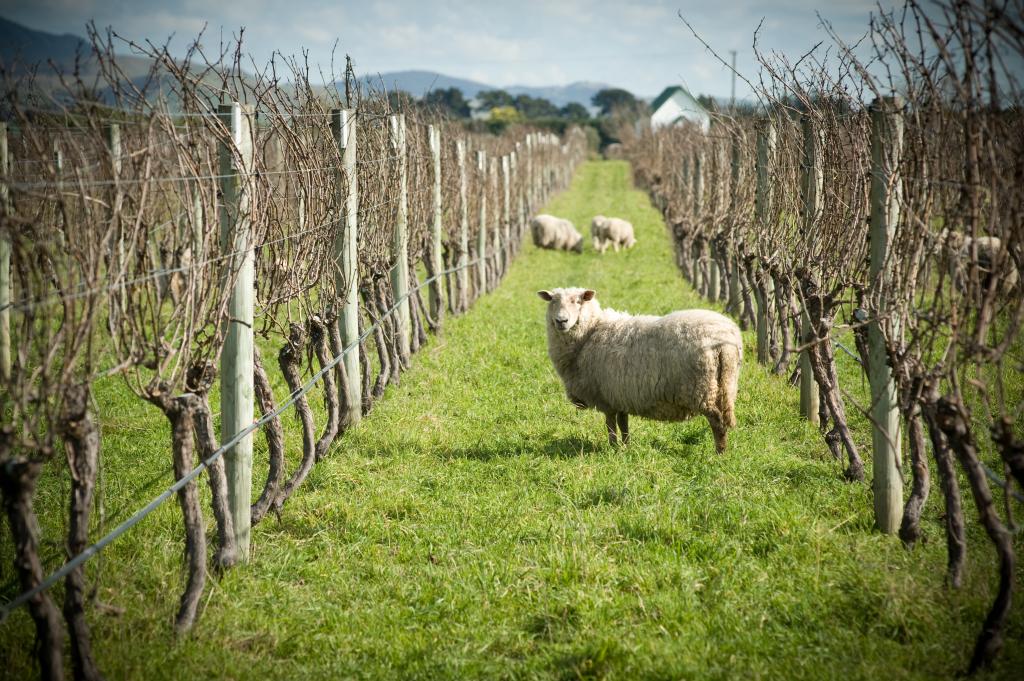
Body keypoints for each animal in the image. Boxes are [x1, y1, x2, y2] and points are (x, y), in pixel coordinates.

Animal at [536, 286, 745, 450]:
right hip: (726, 384)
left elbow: (610, 425)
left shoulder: (605, 397)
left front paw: (612, 448)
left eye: (577, 301)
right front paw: (626, 446)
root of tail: (725, 341)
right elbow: (623, 424)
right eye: (552, 301)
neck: (589, 334)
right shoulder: (619, 395)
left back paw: (719, 453)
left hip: (700, 388)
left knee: (717, 421)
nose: (561, 321)